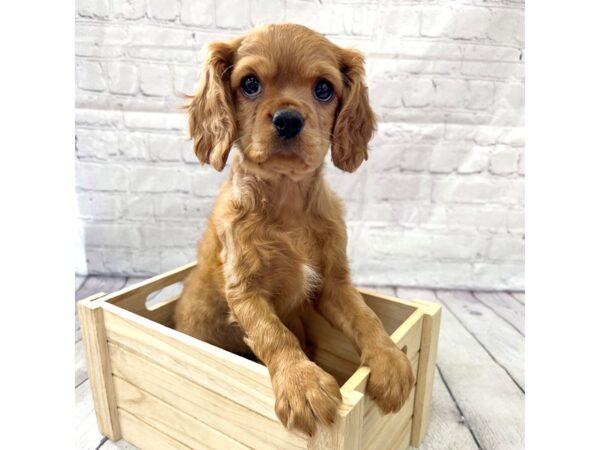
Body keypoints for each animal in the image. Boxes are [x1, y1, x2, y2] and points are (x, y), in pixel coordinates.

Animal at [175, 23, 412, 436]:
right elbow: (274, 334)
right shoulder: (245, 291)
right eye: (250, 83)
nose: (288, 119)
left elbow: (367, 316)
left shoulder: (334, 283)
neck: (286, 202)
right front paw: (303, 385)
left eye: (324, 89)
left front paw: (390, 361)